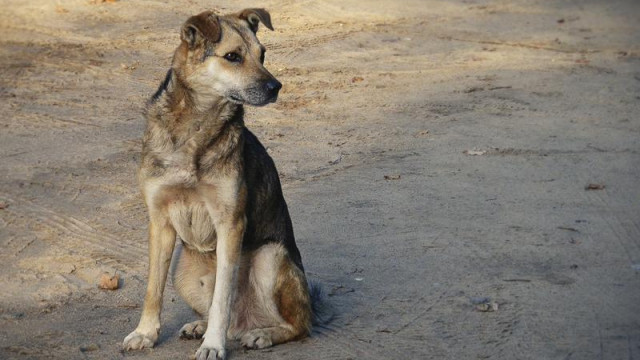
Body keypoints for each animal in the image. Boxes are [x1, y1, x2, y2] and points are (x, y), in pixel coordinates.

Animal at [123, 8, 328, 360]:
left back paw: (261, 334)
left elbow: (222, 296)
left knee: (298, 325)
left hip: (270, 256)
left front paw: (213, 346)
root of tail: (245, 322)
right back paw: (200, 326)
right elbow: (153, 289)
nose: (276, 87)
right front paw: (145, 333)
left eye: (262, 55)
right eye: (233, 57)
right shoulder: (160, 222)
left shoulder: (230, 223)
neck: (196, 124)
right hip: (182, 269)